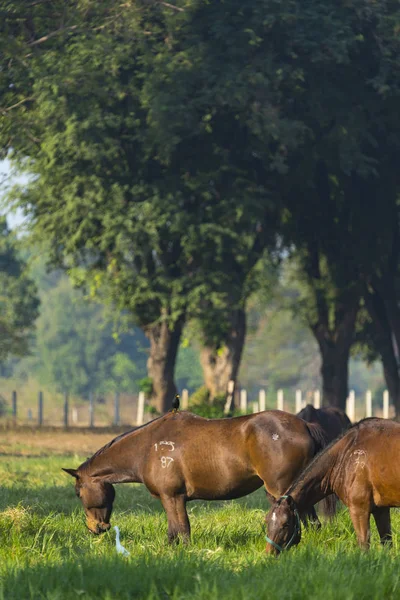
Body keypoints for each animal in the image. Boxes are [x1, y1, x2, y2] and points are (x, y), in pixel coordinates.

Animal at [63, 410, 328, 540]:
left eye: (78, 493)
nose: (95, 529)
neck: (148, 447)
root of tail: (305, 425)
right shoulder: (171, 499)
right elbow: (174, 532)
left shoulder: (173, 497)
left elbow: (181, 530)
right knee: (312, 522)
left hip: (282, 490)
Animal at [266, 418, 400, 552]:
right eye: (267, 521)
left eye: (286, 524)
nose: (270, 552)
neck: (347, 455)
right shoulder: (381, 510)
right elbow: (387, 542)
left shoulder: (359, 510)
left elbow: (364, 545)